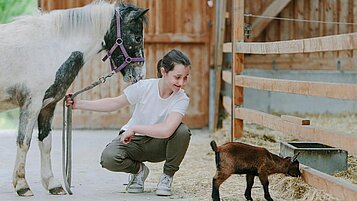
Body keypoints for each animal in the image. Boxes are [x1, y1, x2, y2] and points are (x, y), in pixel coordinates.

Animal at [0, 1, 147, 196]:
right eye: (137, 38)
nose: (139, 75)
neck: (51, 48)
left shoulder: (48, 105)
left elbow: (45, 143)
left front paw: (53, 184)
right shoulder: (31, 104)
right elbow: (24, 142)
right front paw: (22, 185)